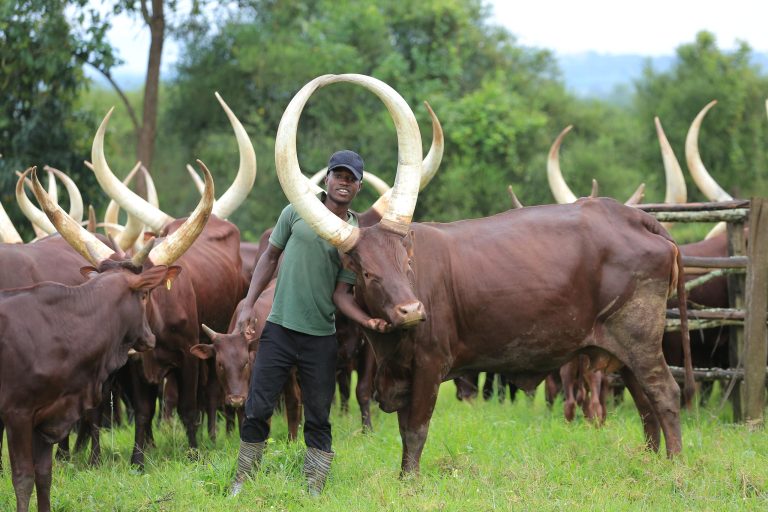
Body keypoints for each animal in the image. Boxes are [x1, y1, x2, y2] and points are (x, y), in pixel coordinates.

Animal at [0, 168, 184, 512]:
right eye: (144, 295)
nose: (151, 338)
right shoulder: (16, 414)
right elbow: (23, 478)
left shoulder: (47, 418)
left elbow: (44, 475)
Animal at [272, 73, 693, 474]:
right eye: (365, 272)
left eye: (406, 264)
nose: (412, 311)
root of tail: (636, 218)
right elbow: (404, 429)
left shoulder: (429, 366)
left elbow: (416, 429)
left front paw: (410, 483)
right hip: (625, 349)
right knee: (645, 402)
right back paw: (650, 462)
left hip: (640, 338)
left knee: (665, 394)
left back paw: (675, 468)